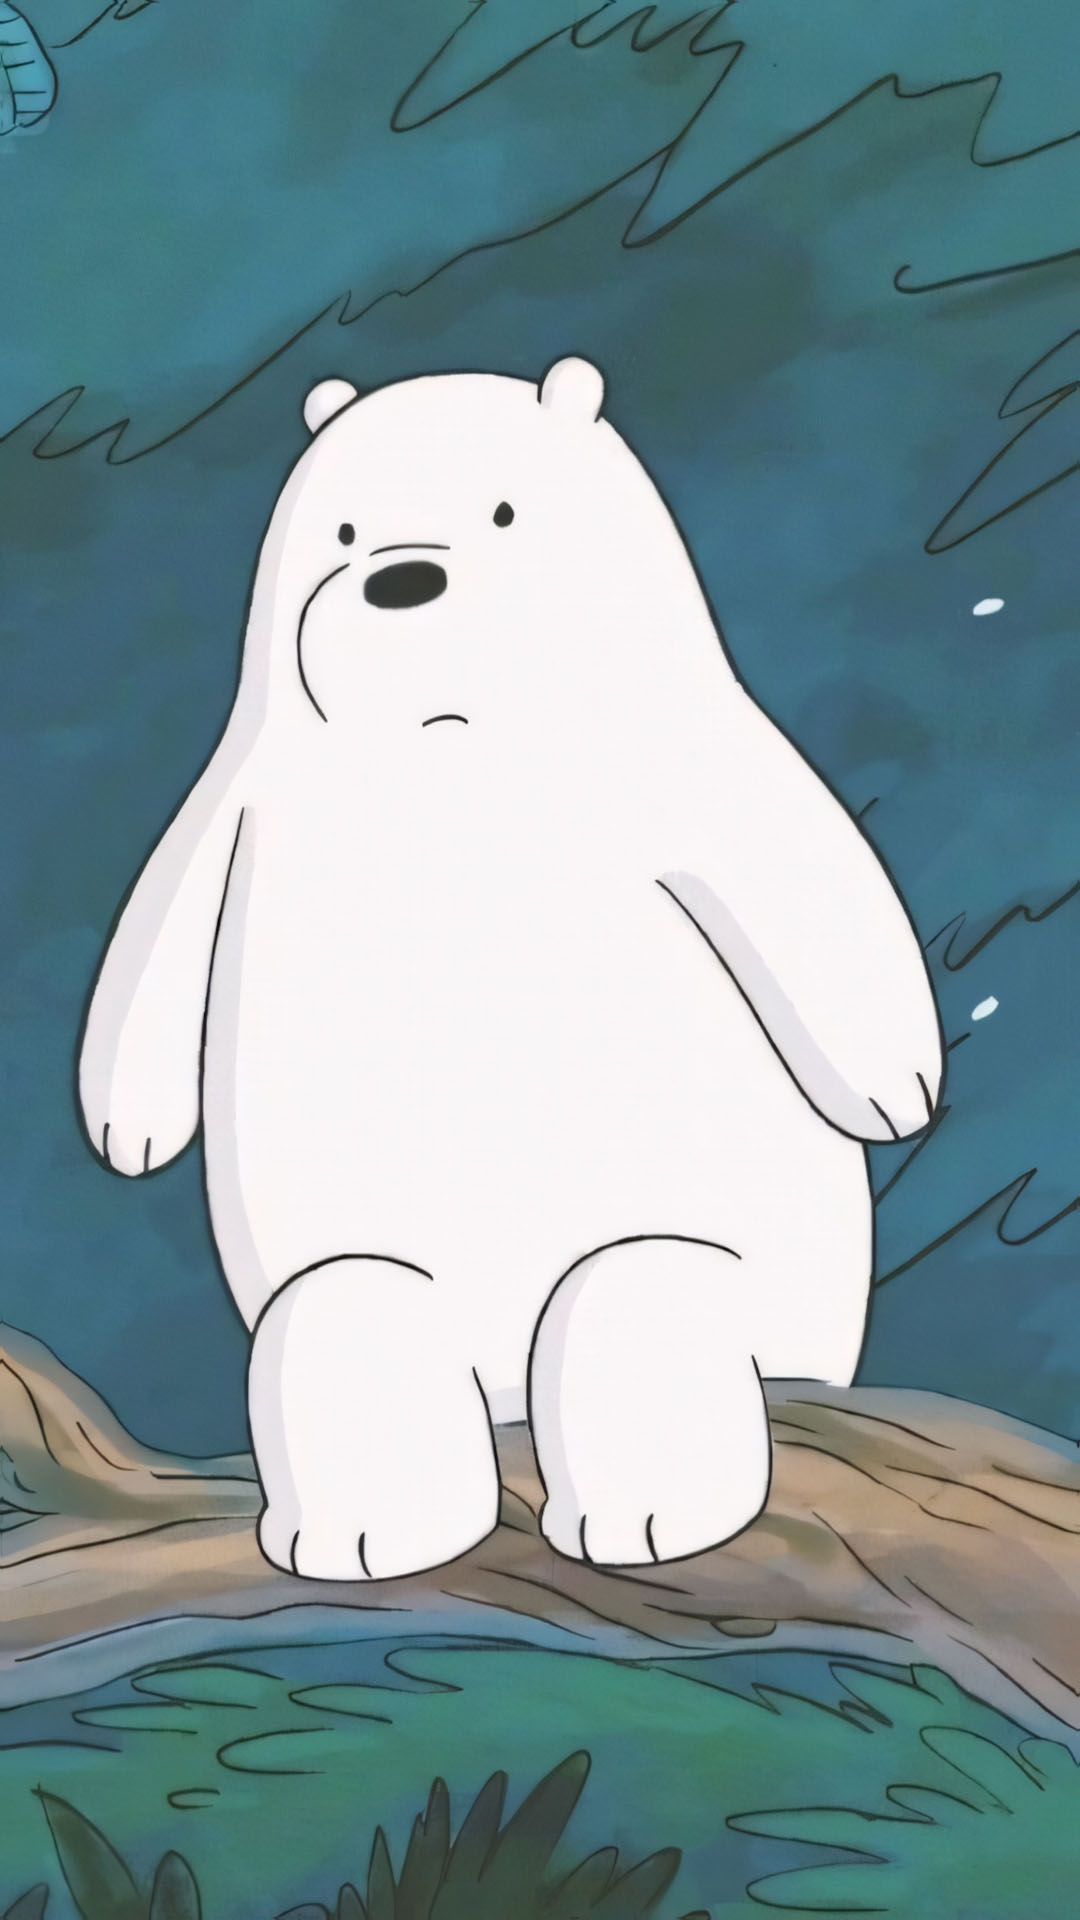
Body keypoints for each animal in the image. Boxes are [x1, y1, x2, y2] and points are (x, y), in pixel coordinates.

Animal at [78, 356, 943, 1582]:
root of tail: (504, 1392)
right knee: (347, 1309)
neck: (456, 759)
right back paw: (369, 1522)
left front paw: (898, 1093)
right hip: (377, 1280)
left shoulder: (706, 758)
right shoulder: (229, 797)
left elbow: (810, 880)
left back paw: (650, 1509)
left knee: (644, 1295)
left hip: (733, 1289)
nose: (402, 581)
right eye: (343, 531)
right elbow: (156, 936)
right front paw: (127, 1129)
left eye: (502, 512)